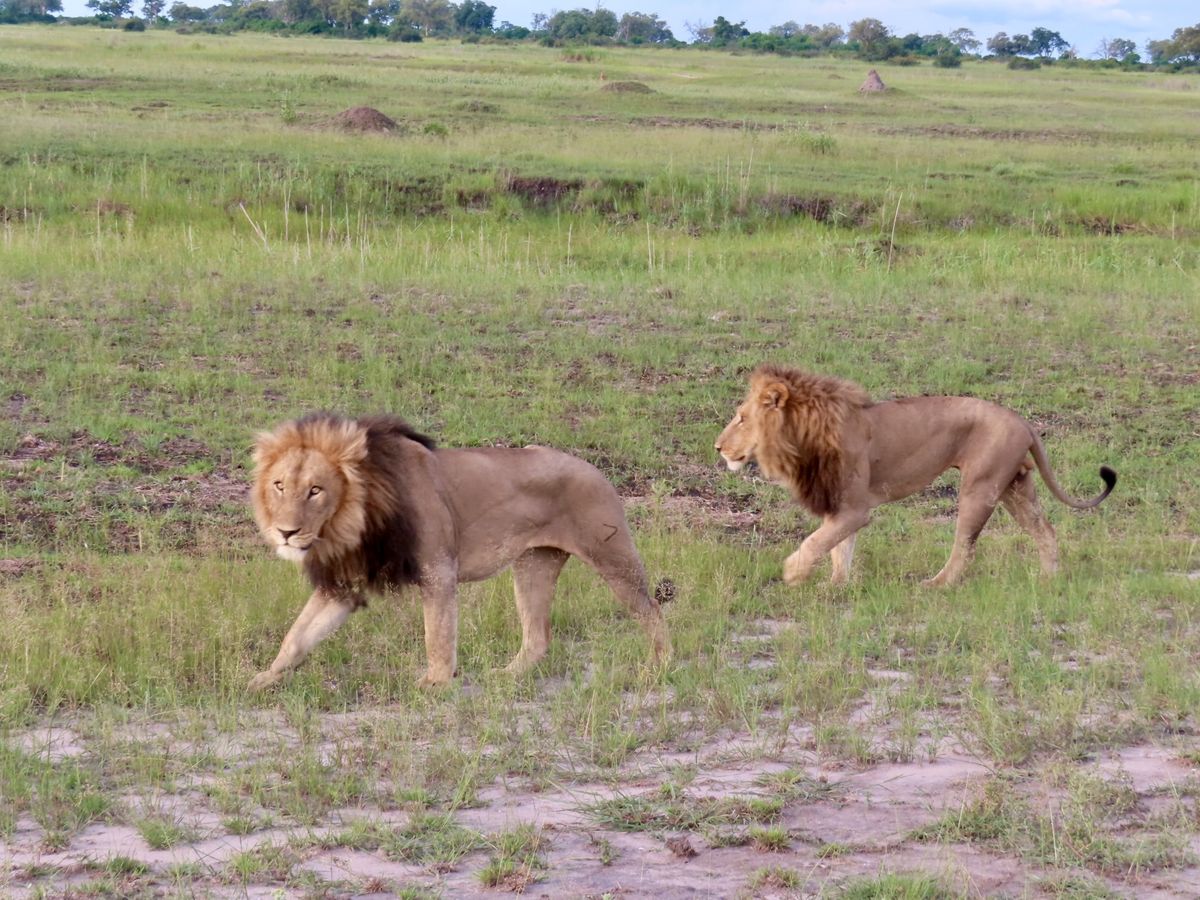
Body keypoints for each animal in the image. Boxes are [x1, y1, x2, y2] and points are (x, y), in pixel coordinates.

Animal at [248, 413, 670, 691]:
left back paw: (658, 667)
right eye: (280, 485)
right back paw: (508, 676)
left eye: (315, 490)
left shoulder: (438, 568)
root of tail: (595, 468)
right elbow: (298, 635)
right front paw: (263, 679)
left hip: (611, 554)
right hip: (534, 564)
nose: (286, 532)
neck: (354, 519)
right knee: (538, 637)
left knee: (652, 610)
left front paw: (435, 683)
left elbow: (437, 632)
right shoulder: (344, 584)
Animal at [715, 364, 1116, 586]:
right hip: (1015, 487)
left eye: (741, 418)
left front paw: (792, 574)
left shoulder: (855, 509)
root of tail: (1023, 421)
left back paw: (936, 585)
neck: (803, 435)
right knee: (1045, 530)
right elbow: (838, 548)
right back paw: (1049, 579)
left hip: (980, 487)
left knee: (965, 547)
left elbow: (817, 542)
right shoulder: (841, 506)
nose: (717, 447)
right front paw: (835, 586)